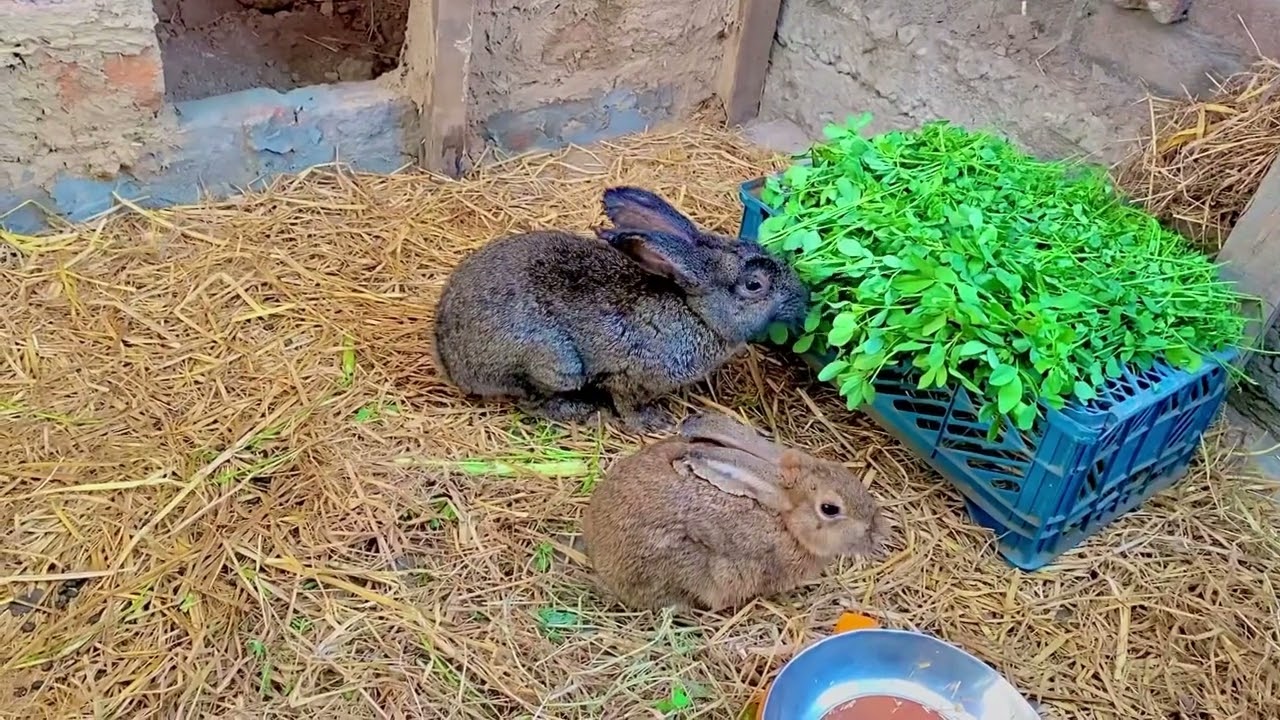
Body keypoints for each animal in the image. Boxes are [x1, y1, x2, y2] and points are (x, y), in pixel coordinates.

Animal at [431, 187, 809, 432]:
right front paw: (651, 423)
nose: (803, 296)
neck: (695, 312)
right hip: (556, 364)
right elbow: (627, 405)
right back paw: (581, 411)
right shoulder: (627, 378)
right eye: (754, 285)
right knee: (532, 400)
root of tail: (451, 360)